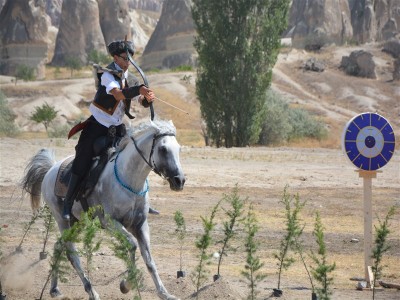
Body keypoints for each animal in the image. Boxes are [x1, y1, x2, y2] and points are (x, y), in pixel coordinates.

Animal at [21, 118, 185, 298]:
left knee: (58, 246)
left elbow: (149, 260)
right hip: (62, 220)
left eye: (179, 148)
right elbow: (132, 245)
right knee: (72, 254)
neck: (129, 180)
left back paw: (54, 289)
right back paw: (91, 291)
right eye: (163, 149)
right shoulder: (110, 222)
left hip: (77, 222)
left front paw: (164, 293)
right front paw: (126, 285)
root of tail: (51, 169)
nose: (179, 180)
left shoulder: (141, 224)